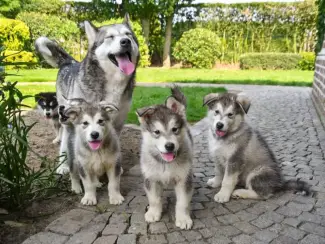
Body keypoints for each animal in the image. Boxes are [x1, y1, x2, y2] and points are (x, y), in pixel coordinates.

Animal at [35, 14, 139, 175]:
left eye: (128, 35)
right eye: (110, 37)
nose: (125, 41)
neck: (113, 82)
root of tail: (70, 62)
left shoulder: (117, 124)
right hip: (65, 119)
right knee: (64, 138)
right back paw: (62, 165)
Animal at [136, 86, 194, 230]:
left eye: (174, 129)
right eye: (157, 132)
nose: (169, 146)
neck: (165, 163)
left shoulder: (183, 178)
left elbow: (183, 202)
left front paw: (183, 219)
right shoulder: (151, 178)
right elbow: (154, 199)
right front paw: (153, 213)